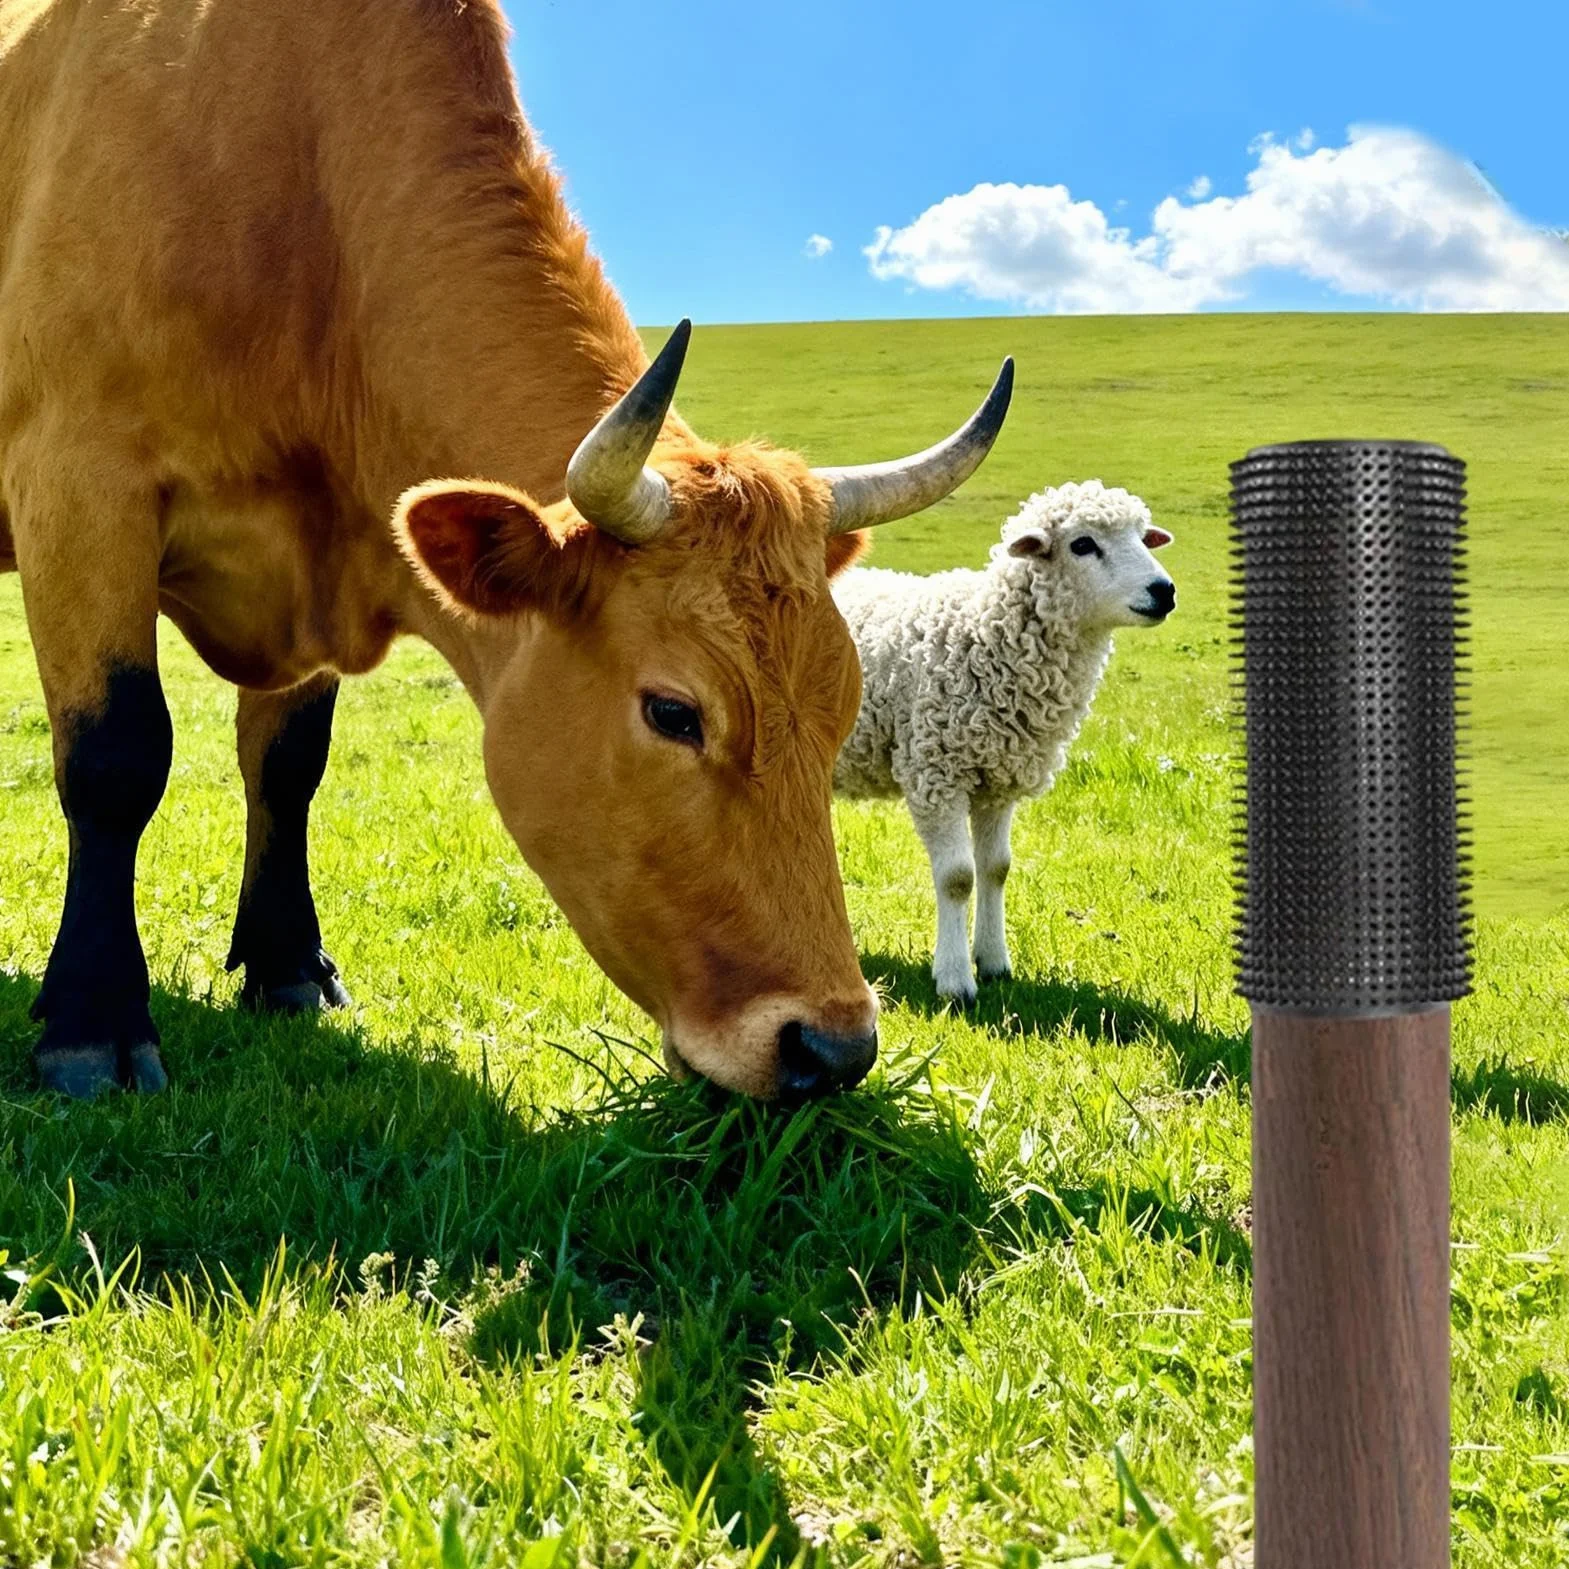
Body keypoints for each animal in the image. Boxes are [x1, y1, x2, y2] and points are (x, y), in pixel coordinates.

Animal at [832, 480, 1176, 1002]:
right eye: (1082, 544)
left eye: (1142, 537)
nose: (1164, 591)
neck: (983, 635)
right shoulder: (935, 771)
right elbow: (957, 877)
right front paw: (955, 980)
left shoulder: (997, 778)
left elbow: (996, 868)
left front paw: (994, 961)